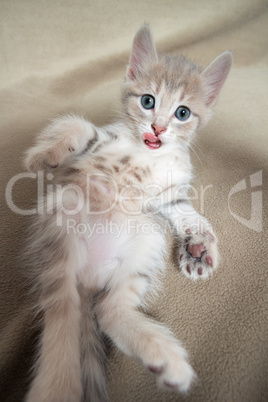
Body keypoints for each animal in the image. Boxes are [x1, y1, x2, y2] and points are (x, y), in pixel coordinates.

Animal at [23, 25, 232, 402]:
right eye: (148, 101)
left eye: (182, 113)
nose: (158, 129)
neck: (150, 153)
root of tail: (89, 278)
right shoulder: (101, 141)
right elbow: (79, 127)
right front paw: (44, 154)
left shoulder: (169, 196)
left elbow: (187, 212)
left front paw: (198, 246)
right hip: (61, 222)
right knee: (62, 313)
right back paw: (58, 385)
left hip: (146, 241)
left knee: (108, 311)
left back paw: (163, 356)